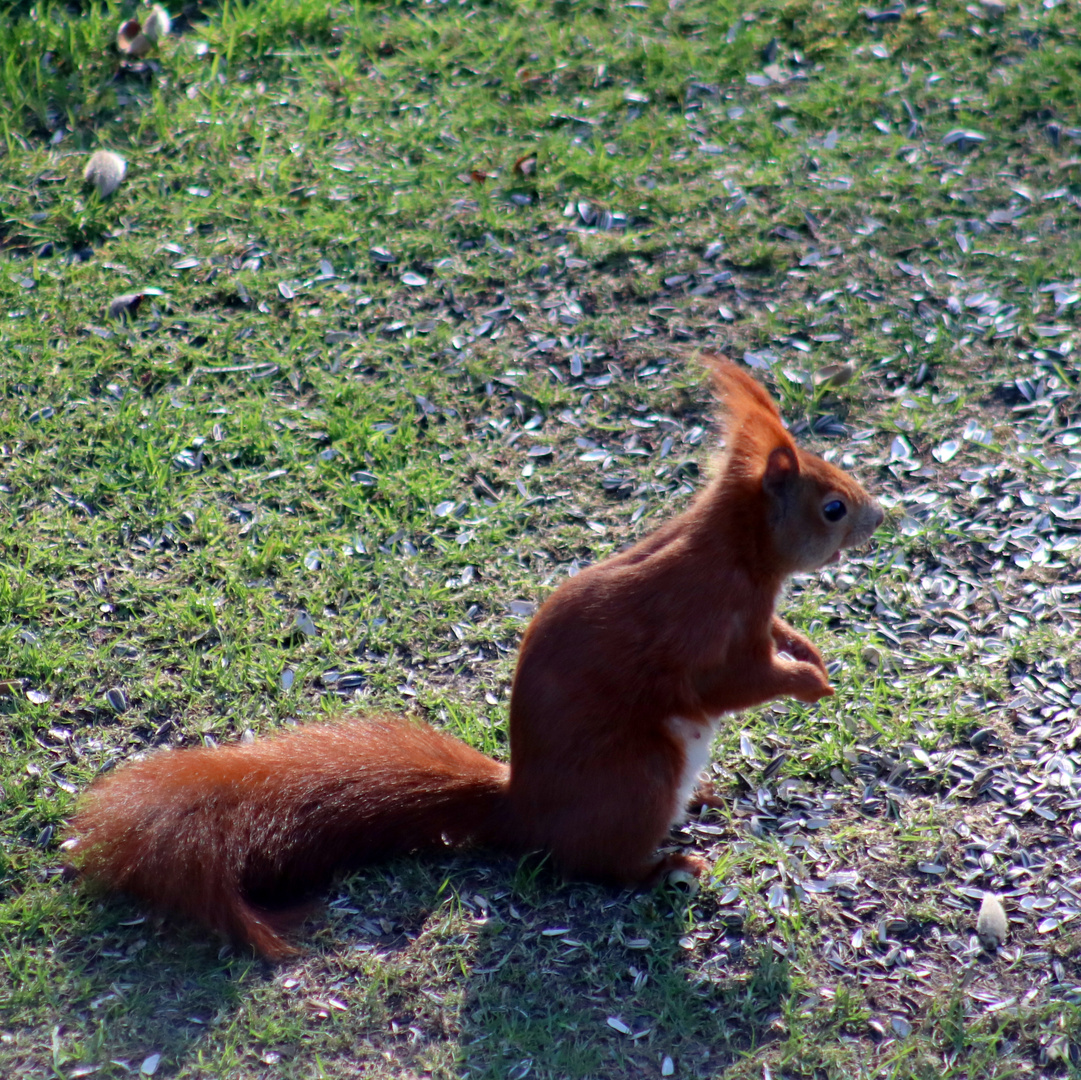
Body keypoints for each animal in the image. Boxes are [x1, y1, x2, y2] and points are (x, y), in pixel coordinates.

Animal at [65, 358, 877, 959]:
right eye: (830, 506)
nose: (879, 515)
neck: (736, 553)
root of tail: (520, 810)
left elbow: (779, 638)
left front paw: (808, 648)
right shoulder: (707, 628)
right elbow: (740, 679)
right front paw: (810, 681)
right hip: (638, 777)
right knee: (602, 868)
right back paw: (670, 867)